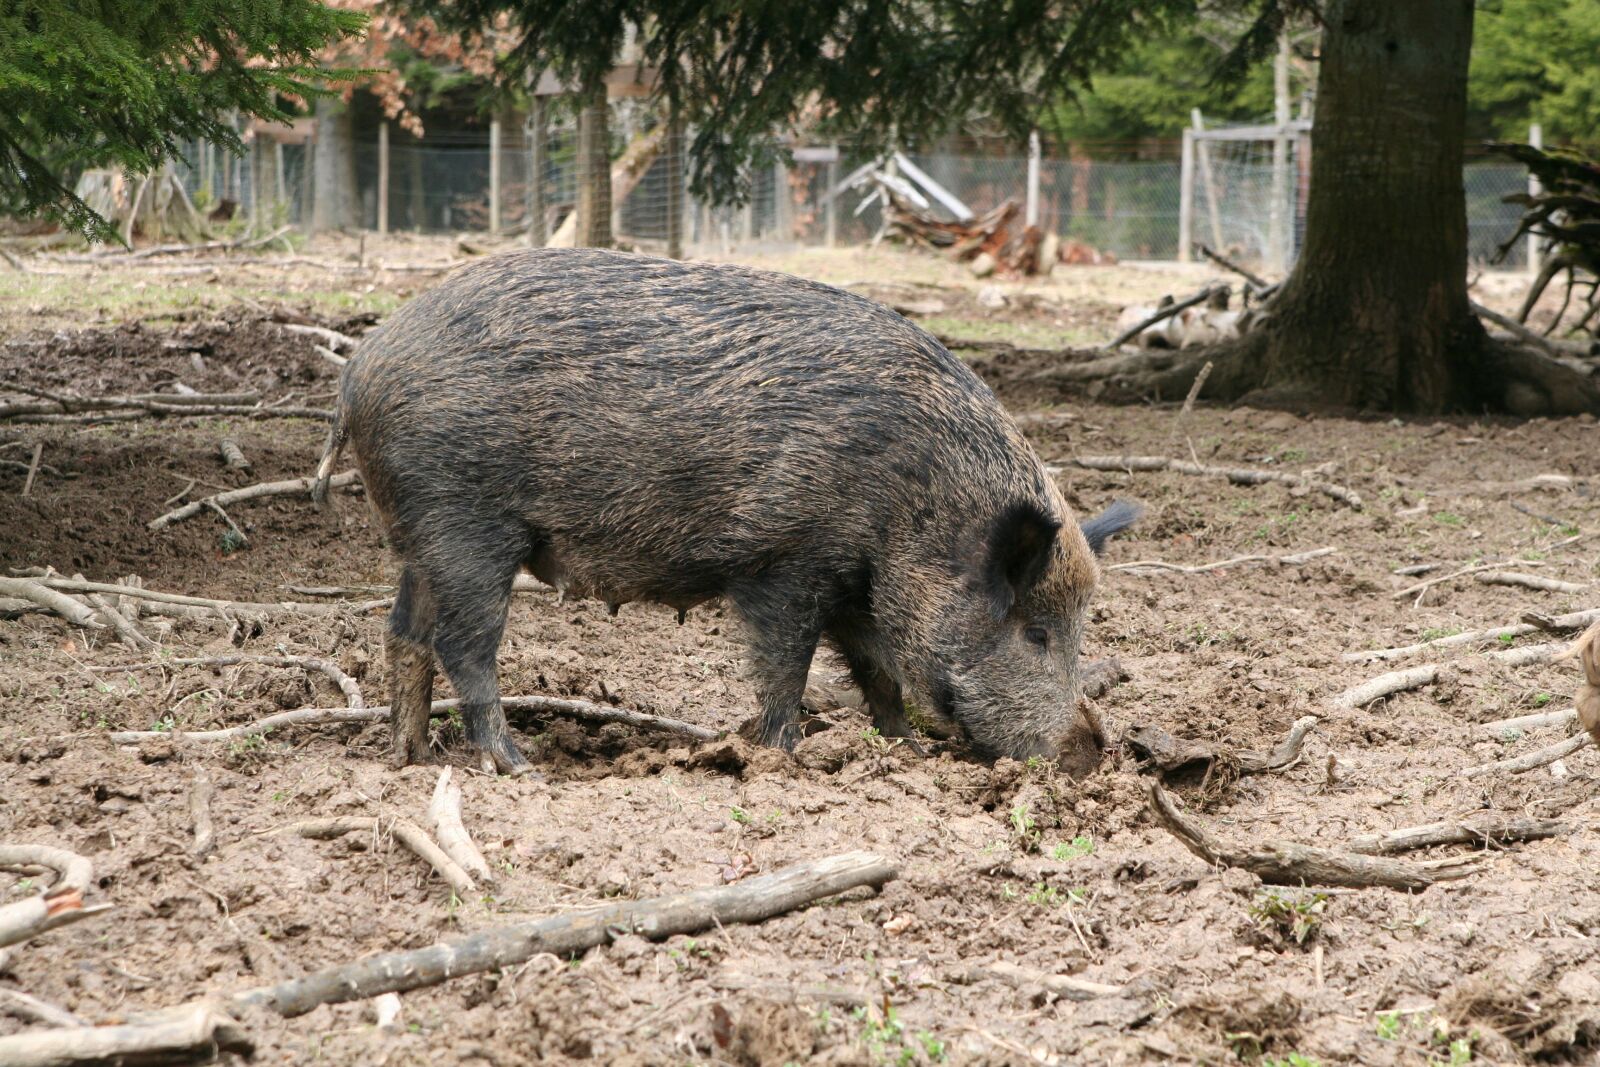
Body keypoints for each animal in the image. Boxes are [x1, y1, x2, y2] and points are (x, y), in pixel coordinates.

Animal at [317, 248, 1135, 777]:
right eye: (1035, 631)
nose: (1089, 753)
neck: (916, 499)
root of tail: (359, 370)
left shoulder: (856, 582)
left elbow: (878, 670)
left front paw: (903, 749)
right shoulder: (786, 560)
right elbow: (786, 669)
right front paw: (781, 757)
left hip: (422, 536)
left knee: (403, 633)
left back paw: (408, 757)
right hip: (466, 522)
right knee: (463, 645)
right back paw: (515, 766)